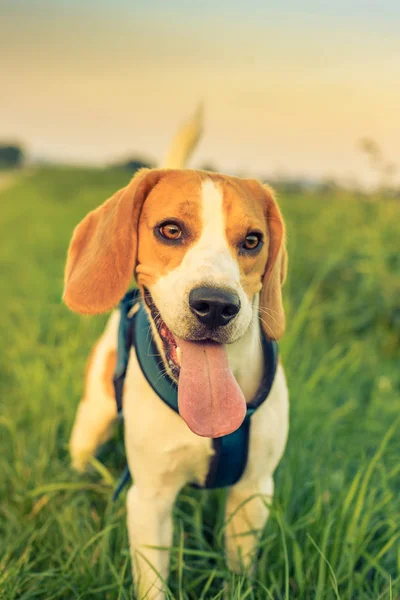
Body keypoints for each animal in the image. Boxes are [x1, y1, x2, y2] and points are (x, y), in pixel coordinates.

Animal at [65, 110, 288, 596]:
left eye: (252, 240)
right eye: (170, 230)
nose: (216, 304)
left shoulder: (254, 492)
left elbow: (240, 570)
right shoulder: (150, 500)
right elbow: (152, 581)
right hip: (93, 416)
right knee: (82, 450)